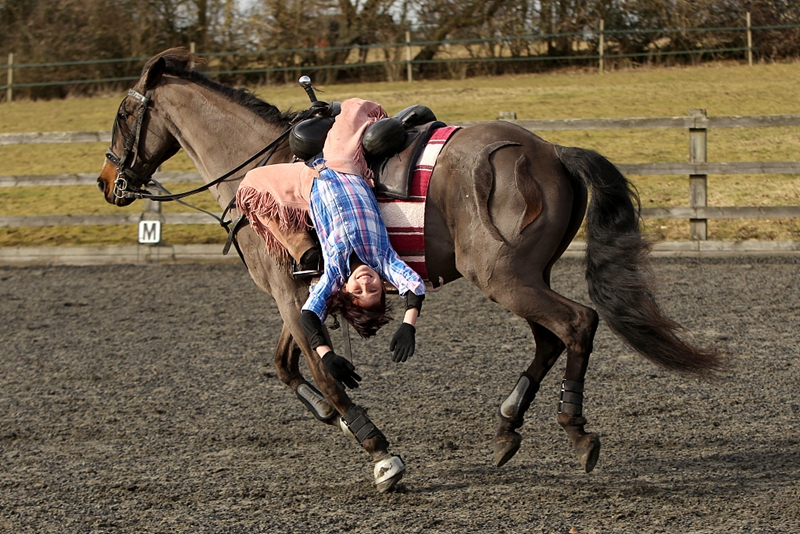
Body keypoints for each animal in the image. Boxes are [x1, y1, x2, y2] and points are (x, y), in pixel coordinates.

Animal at [97, 49, 720, 494]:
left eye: (124, 114)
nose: (108, 181)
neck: (260, 168)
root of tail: (549, 152)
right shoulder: (300, 289)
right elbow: (288, 363)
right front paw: (330, 412)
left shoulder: (286, 291)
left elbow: (314, 367)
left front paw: (379, 451)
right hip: (523, 276)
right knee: (550, 338)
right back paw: (507, 426)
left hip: (502, 275)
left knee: (576, 325)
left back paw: (575, 427)